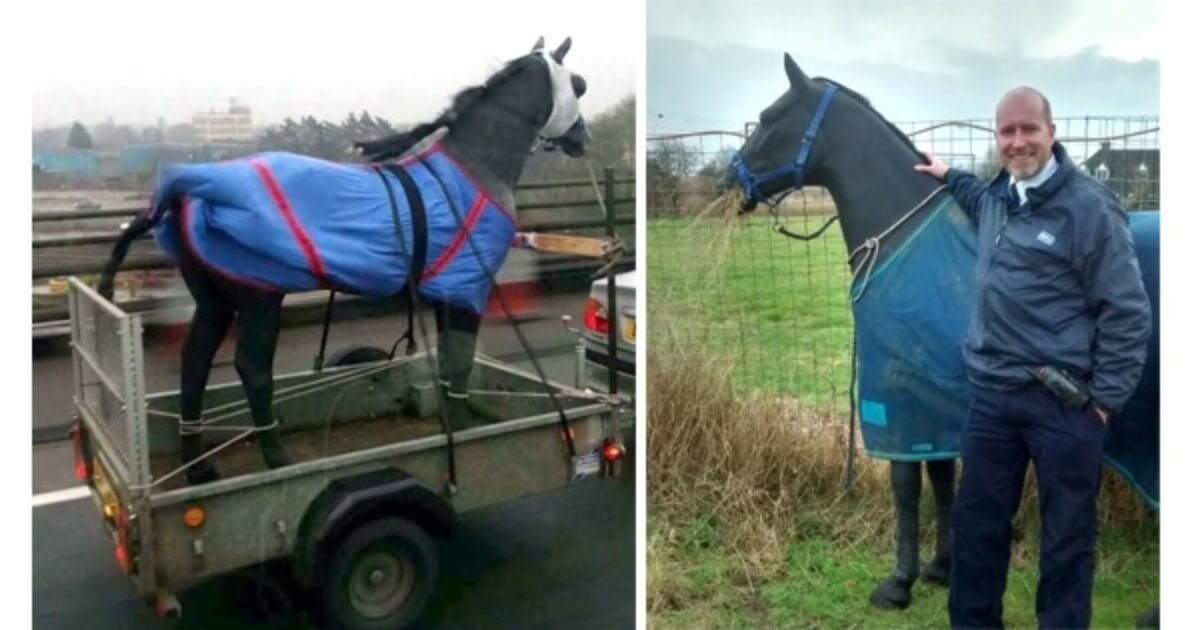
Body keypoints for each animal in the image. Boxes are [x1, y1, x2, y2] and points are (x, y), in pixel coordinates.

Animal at [97, 37, 591, 486]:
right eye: (579, 84)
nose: (582, 138)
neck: (472, 170)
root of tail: (186, 190)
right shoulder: (467, 288)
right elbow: (460, 361)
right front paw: (465, 426)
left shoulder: (448, 290)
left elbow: (452, 359)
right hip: (259, 296)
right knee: (251, 367)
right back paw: (276, 457)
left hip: (214, 299)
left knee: (195, 361)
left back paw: (198, 465)